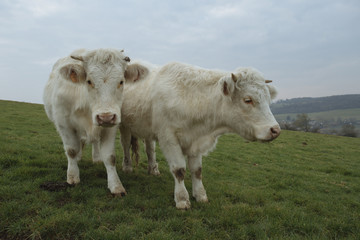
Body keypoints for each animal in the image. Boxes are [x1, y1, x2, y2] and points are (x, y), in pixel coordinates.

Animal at [43, 47, 148, 196]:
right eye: (89, 81)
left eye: (121, 81)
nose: (105, 117)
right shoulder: (64, 123)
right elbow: (71, 150)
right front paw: (73, 177)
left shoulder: (111, 126)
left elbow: (110, 157)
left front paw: (116, 186)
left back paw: (97, 158)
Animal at [119, 61, 280, 208]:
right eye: (247, 100)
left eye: (268, 99)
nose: (275, 130)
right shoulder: (169, 138)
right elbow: (179, 170)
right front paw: (182, 199)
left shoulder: (195, 141)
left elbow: (197, 171)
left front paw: (201, 195)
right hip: (124, 126)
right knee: (125, 145)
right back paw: (127, 167)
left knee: (150, 149)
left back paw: (153, 169)